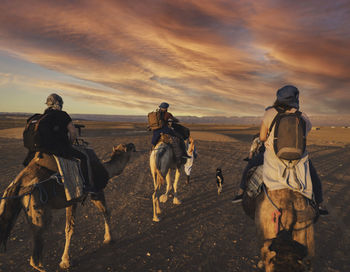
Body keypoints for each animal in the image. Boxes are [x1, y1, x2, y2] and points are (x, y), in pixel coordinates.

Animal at [0, 143, 135, 270]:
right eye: (127, 147)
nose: (132, 145)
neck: (106, 169)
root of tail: (18, 183)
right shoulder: (95, 191)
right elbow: (104, 213)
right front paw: (109, 239)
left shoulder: (71, 201)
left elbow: (69, 227)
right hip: (39, 209)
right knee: (35, 256)